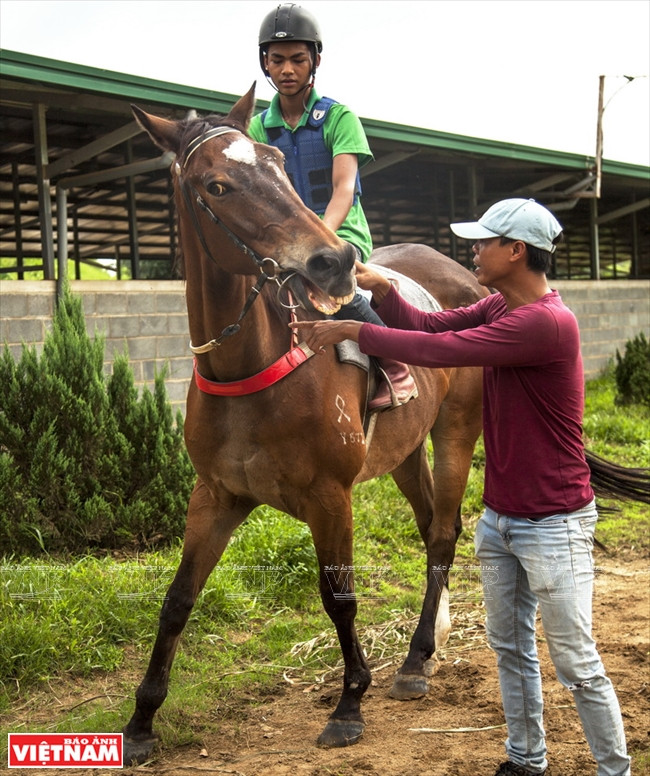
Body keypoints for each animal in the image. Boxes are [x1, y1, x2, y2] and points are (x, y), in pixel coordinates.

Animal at [121, 84, 485, 762]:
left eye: (276, 165)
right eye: (216, 186)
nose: (334, 261)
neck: (253, 367)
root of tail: (467, 277)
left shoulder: (329, 496)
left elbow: (338, 597)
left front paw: (349, 704)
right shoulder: (215, 496)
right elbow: (177, 600)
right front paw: (140, 721)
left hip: (456, 430)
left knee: (446, 533)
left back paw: (416, 659)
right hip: (404, 452)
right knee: (430, 528)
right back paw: (424, 648)